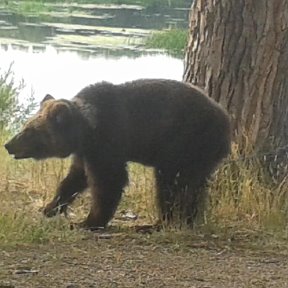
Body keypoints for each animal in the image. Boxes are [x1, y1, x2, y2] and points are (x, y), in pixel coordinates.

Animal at [3, 79, 231, 230]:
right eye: (26, 125)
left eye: (30, 130)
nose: (8, 144)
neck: (87, 130)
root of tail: (227, 123)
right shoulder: (86, 152)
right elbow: (75, 178)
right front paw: (50, 207)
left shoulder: (108, 142)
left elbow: (108, 181)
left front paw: (88, 221)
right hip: (200, 155)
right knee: (194, 186)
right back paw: (188, 220)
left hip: (186, 141)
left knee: (172, 184)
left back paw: (161, 222)